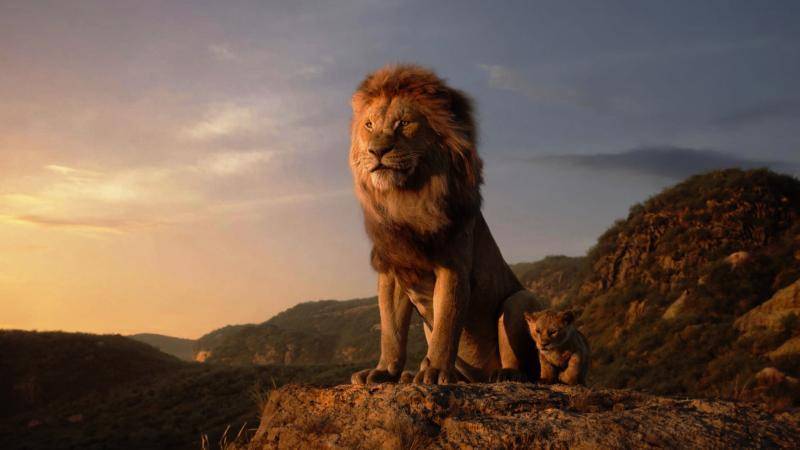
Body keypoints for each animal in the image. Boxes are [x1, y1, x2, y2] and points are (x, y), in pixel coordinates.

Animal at [348, 64, 546, 385]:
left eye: (404, 123)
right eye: (368, 125)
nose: (377, 151)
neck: (406, 197)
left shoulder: (453, 266)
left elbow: (446, 325)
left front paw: (435, 371)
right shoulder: (393, 270)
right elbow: (391, 331)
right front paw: (384, 372)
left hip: (519, 300)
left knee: (525, 366)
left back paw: (503, 374)